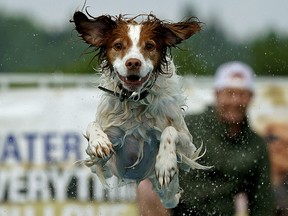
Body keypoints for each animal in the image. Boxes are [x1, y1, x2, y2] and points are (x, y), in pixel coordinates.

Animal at [71, 9, 208, 208]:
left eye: (149, 46)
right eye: (118, 45)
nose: (133, 63)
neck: (135, 102)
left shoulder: (188, 147)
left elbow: (170, 131)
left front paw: (165, 164)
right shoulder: (107, 154)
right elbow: (93, 127)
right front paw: (99, 142)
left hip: (167, 193)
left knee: (172, 199)